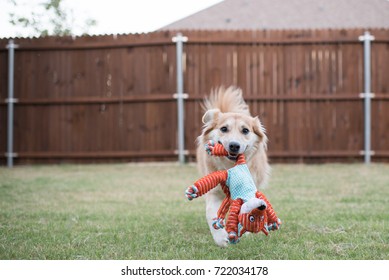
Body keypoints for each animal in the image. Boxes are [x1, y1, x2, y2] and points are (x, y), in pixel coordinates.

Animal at [196, 86, 268, 247]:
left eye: (245, 130)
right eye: (223, 129)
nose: (234, 145)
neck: (231, 167)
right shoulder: (214, 191)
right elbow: (211, 212)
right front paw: (221, 238)